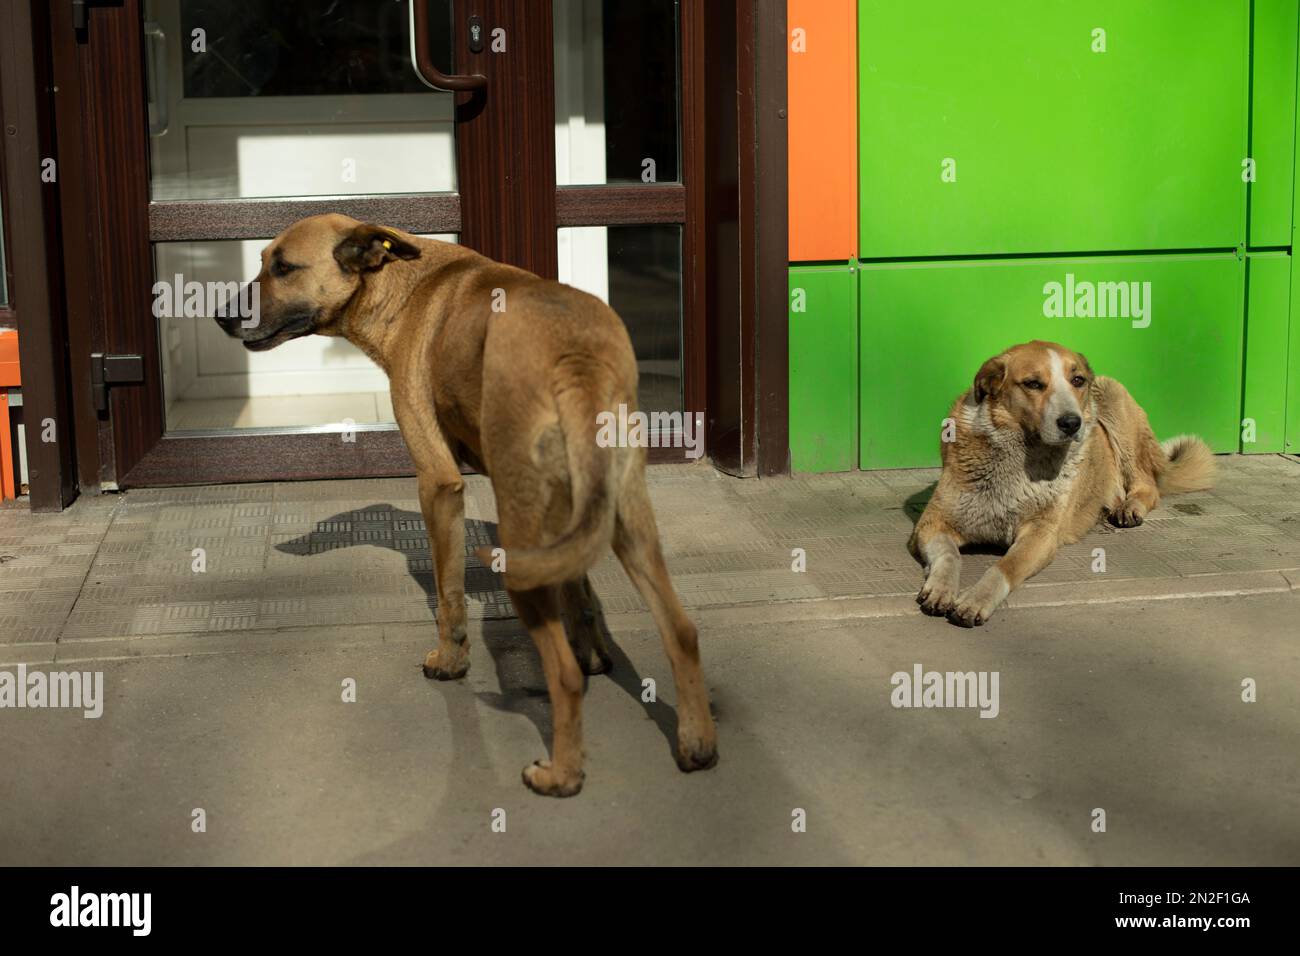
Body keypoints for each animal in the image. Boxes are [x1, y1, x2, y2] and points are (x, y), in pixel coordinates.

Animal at [217, 213, 717, 796]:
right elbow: (580, 591)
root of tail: (574, 353)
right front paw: (594, 649)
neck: (400, 283)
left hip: (521, 547)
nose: (220, 314)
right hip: (628, 520)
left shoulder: (437, 482)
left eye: (283, 268)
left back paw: (561, 775)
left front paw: (450, 661)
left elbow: (448, 591)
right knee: (681, 631)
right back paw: (697, 744)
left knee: (563, 674)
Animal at [909, 343, 1211, 629]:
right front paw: (941, 588)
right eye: (1033, 383)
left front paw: (975, 599)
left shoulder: (1041, 534)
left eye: (1077, 380)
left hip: (1111, 394)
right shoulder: (932, 523)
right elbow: (949, 555)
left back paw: (1130, 507)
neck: (1022, 457)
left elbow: (1005, 566)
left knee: (1148, 485)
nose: (1071, 423)